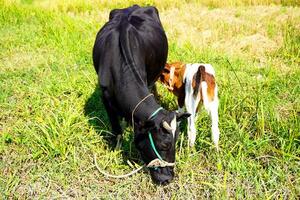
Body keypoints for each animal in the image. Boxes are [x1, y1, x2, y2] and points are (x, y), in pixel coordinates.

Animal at [92, 5, 189, 186]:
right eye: (164, 145)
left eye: (177, 141)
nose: (168, 179)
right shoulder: (105, 97)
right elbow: (116, 129)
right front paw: (116, 149)